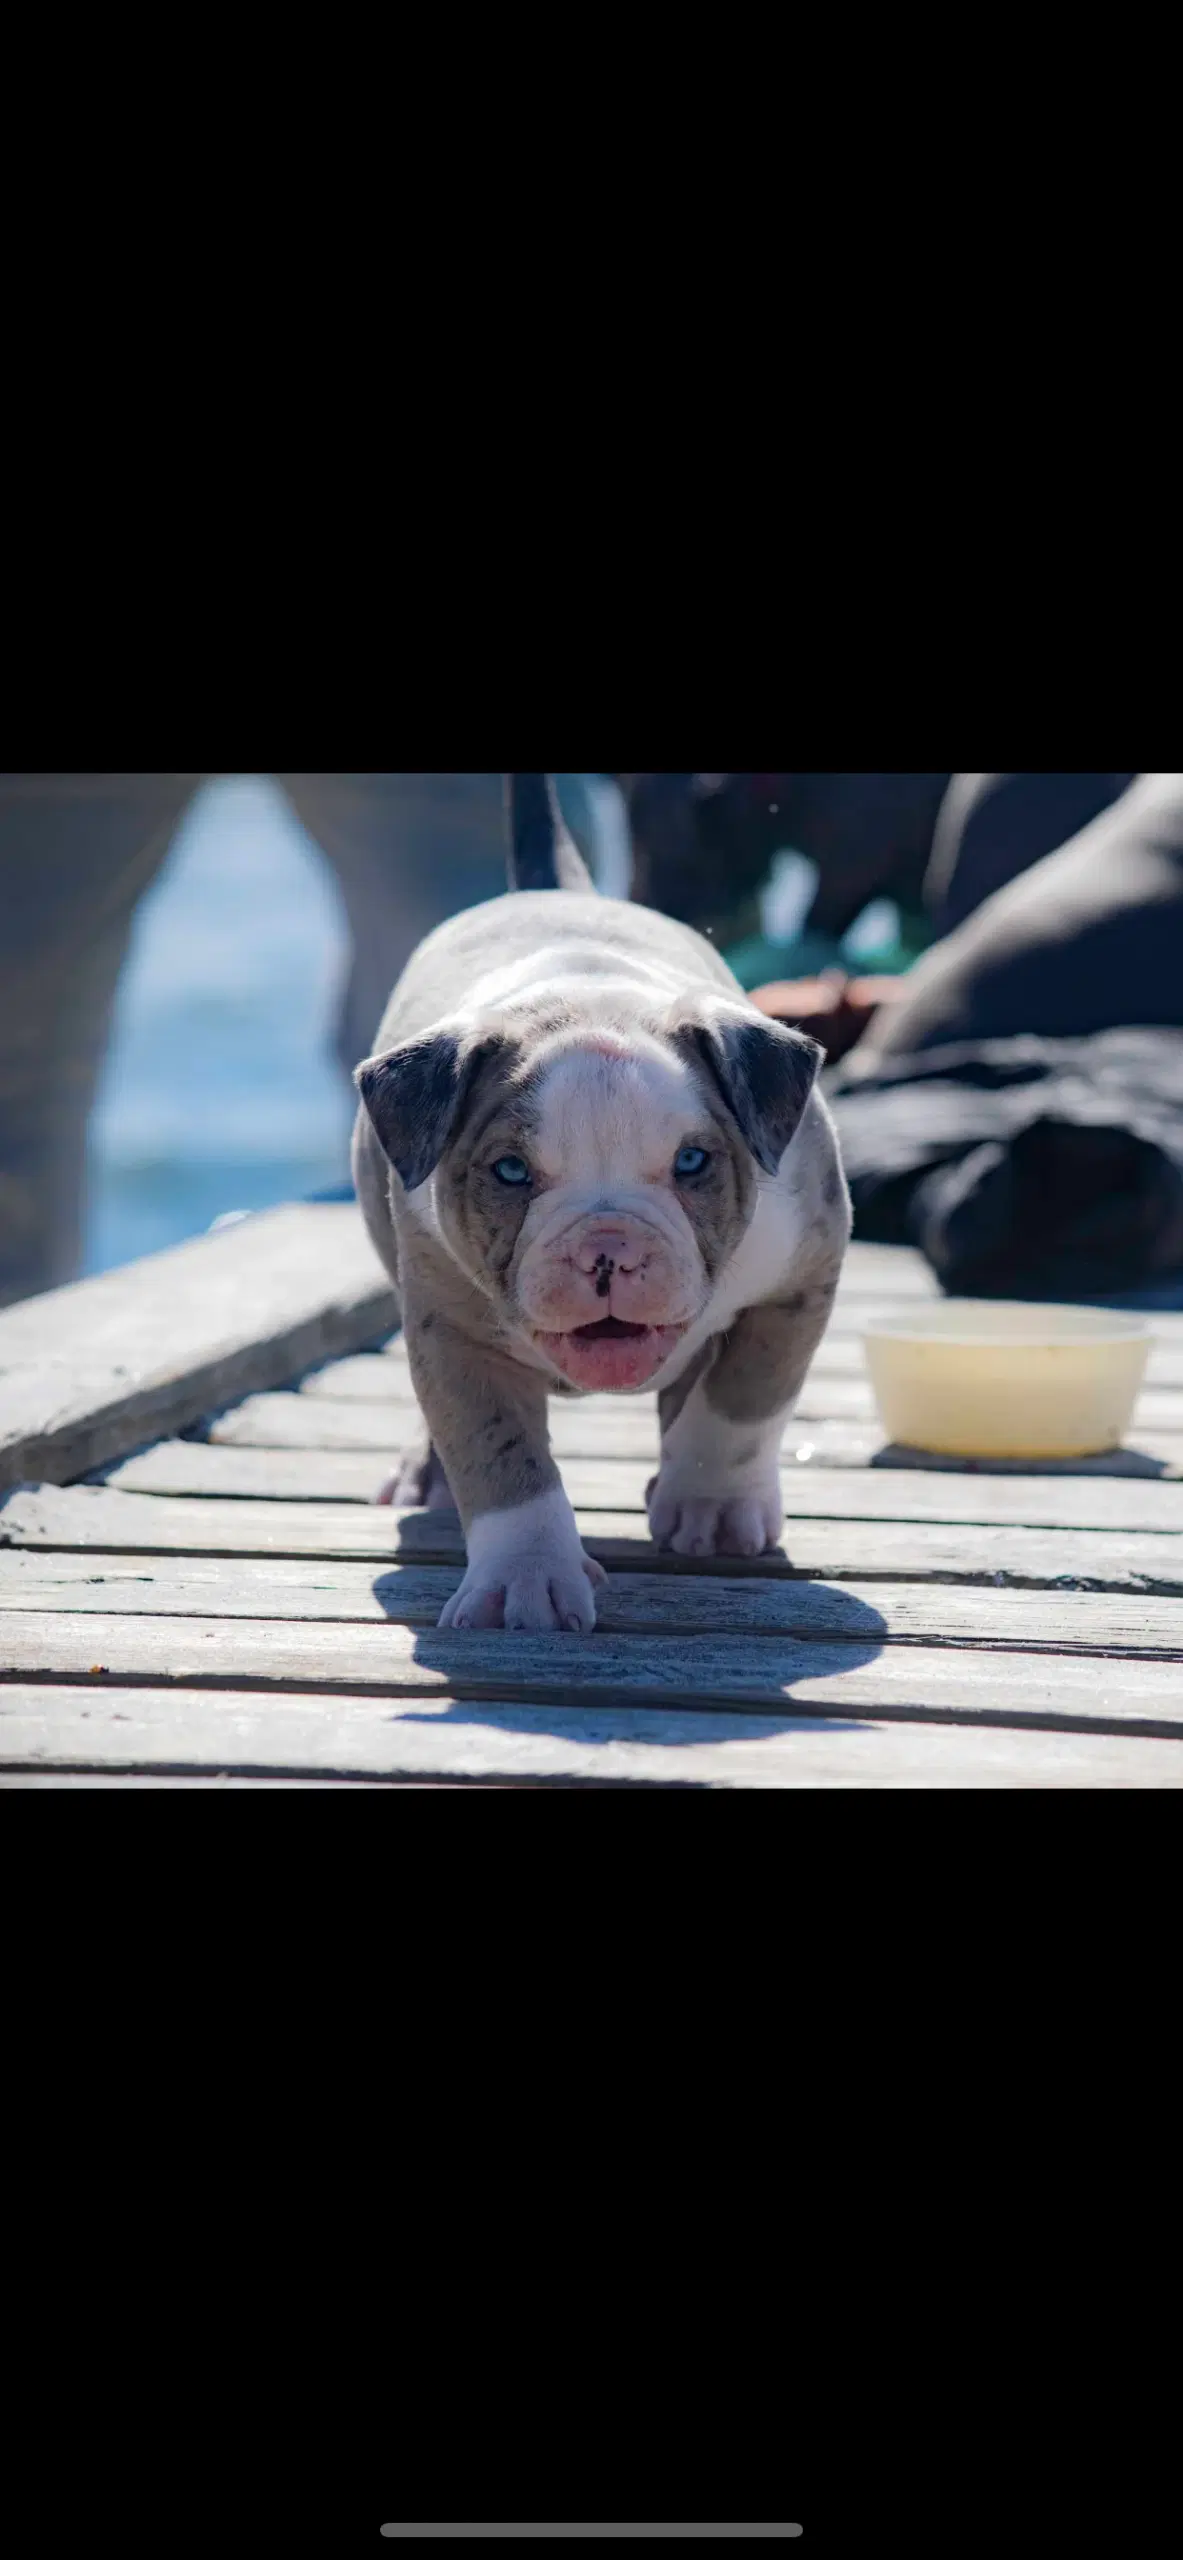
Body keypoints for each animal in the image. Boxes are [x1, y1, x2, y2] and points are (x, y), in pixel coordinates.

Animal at [350, 768, 850, 1628]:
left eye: (692, 1161)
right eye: (510, 1173)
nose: (606, 1249)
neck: (590, 996)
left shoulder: (798, 1281)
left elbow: (741, 1403)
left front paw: (713, 1506)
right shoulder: (453, 1332)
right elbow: (502, 1459)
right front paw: (524, 1579)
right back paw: (429, 1475)